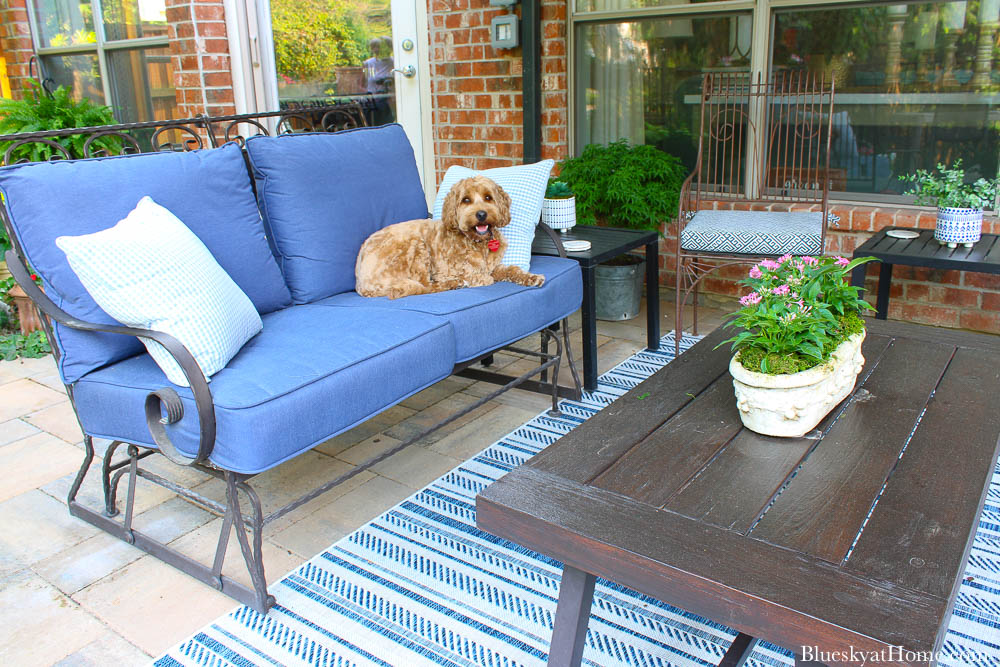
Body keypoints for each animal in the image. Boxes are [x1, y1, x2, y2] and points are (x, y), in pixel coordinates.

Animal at [358, 175, 548, 300]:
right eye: (466, 200)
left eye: (488, 197)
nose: (481, 214)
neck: (477, 242)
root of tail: (361, 284)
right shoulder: (445, 272)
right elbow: (477, 276)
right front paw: (475, 279)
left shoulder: (493, 267)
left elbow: (512, 270)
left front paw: (531, 277)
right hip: (416, 245)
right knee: (424, 286)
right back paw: (453, 284)